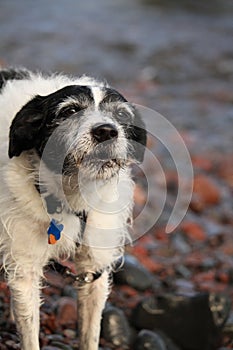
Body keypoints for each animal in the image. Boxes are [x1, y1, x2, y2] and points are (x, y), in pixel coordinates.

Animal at [0, 68, 147, 350]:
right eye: (69, 111)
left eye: (121, 115)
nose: (106, 131)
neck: (71, 194)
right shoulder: (25, 268)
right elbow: (30, 330)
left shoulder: (94, 269)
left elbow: (90, 332)